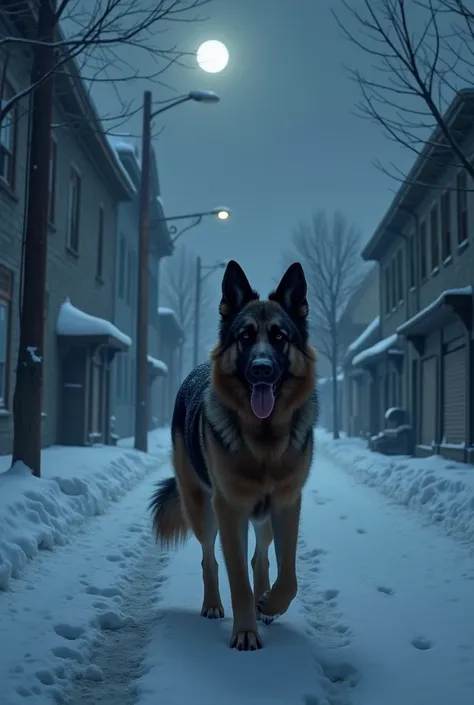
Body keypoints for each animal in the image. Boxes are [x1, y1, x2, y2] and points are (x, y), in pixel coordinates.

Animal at [150, 260, 316, 648]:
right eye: (245, 336)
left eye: (279, 337)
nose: (261, 370)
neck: (265, 441)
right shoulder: (229, 509)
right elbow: (237, 577)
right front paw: (244, 633)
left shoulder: (287, 505)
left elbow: (288, 574)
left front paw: (270, 602)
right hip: (202, 511)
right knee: (209, 559)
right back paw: (213, 604)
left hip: (262, 519)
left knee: (261, 557)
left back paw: (263, 602)